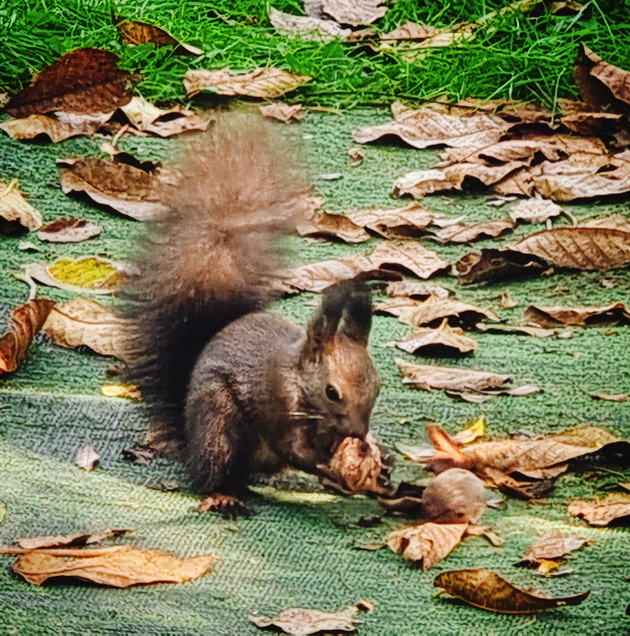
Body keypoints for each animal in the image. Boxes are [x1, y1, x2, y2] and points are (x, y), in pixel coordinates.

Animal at [123, 117, 380, 520]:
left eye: (378, 387)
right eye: (332, 392)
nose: (358, 435)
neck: (298, 377)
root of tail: (189, 436)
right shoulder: (277, 402)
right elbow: (292, 448)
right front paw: (325, 467)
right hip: (218, 422)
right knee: (214, 472)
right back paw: (223, 495)